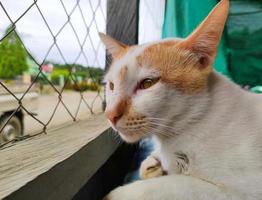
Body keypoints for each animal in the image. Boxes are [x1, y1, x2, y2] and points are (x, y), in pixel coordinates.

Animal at [100, 0, 262, 199]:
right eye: (111, 86)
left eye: (148, 83)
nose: (109, 114)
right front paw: (153, 163)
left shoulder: (243, 190)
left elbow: (176, 184)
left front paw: (120, 193)